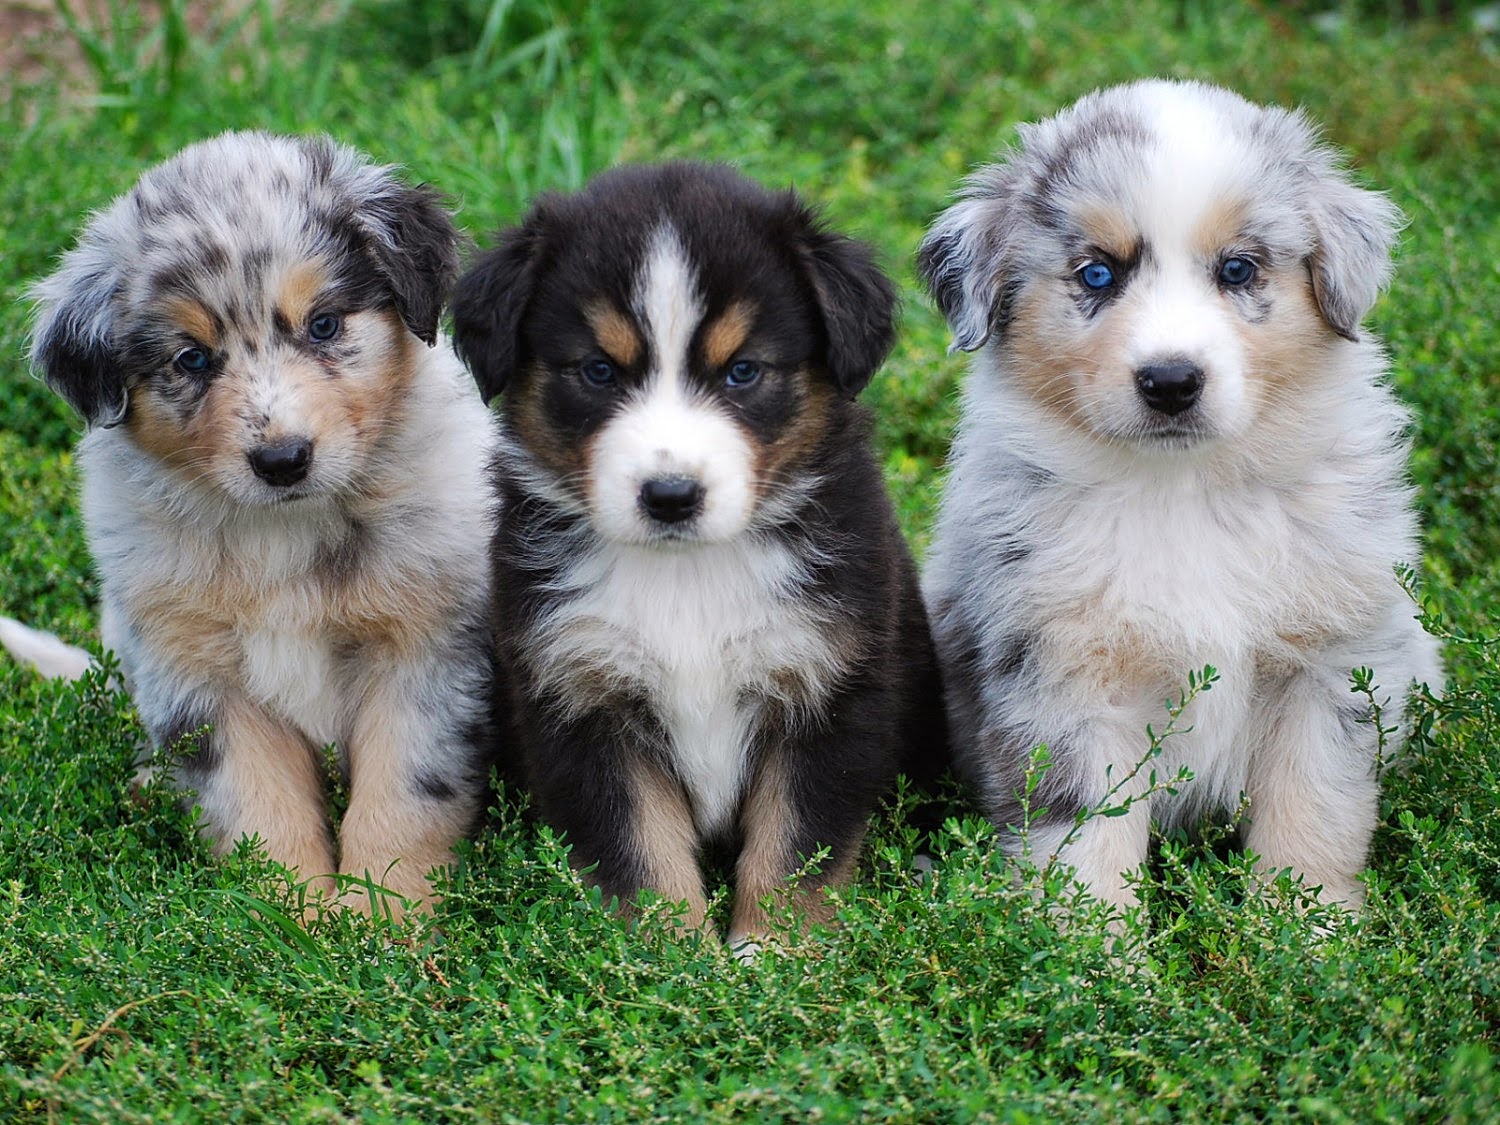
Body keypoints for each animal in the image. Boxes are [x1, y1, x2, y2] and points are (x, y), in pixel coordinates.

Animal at [19, 134, 498, 924]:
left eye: (325, 324)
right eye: (192, 358)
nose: (282, 460)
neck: (283, 531)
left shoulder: (424, 650)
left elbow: (401, 799)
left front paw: (380, 924)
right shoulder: (199, 676)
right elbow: (259, 810)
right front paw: (289, 919)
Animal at [453, 160, 948, 954]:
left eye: (743, 371)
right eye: (598, 371)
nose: (670, 495)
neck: (687, 571)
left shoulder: (831, 687)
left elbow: (793, 843)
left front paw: (770, 953)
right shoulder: (582, 695)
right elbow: (640, 847)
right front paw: (673, 957)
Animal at [912, 83, 1440, 918]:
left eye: (1238, 269)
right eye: (1098, 275)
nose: (1170, 381)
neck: (1187, 488)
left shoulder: (1333, 662)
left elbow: (1313, 810)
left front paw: (1307, 930)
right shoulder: (1066, 677)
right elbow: (1084, 840)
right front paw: (1093, 950)